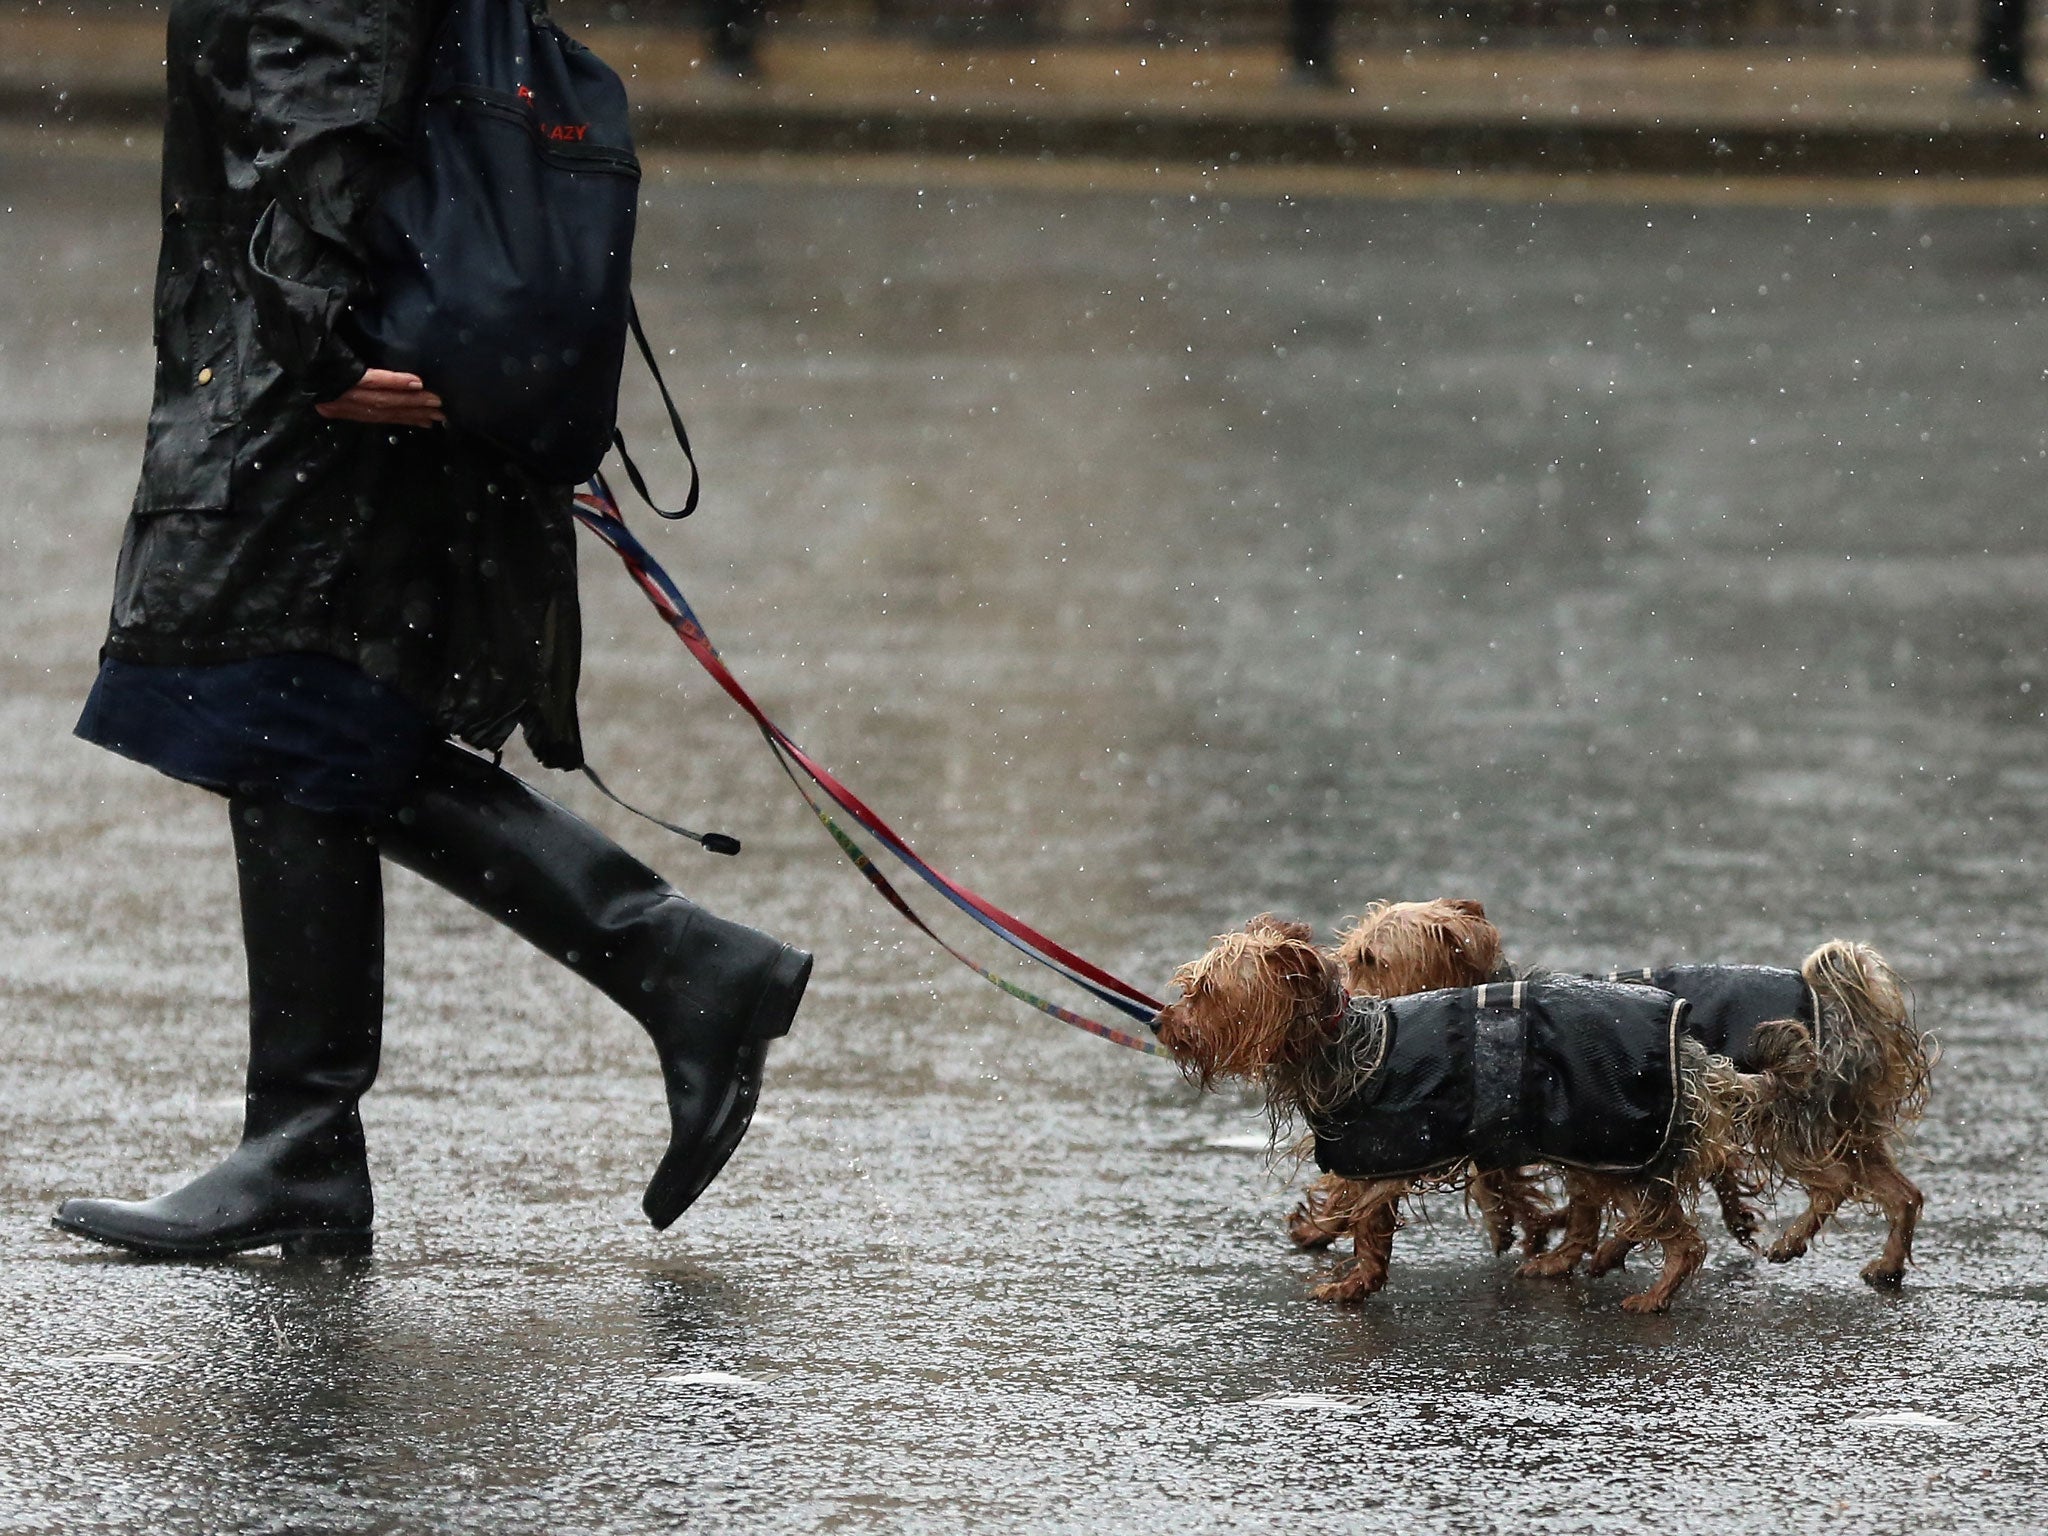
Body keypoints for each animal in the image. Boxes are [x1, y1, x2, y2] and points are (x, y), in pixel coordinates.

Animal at [1163, 921, 1769, 1318]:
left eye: (1207, 990)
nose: (1163, 1022)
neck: (1339, 1042)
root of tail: (1691, 1048)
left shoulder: (1379, 1150)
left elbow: (1363, 1222)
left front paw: (1352, 1282)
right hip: (1593, 1146)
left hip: (1617, 1146)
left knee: (1681, 1237)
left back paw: (1653, 1295)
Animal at [1335, 897, 1925, 1294]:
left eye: (1370, 958)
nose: (1341, 999)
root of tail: (1837, 1006)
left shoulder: (1591, 1135)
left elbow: (1574, 1206)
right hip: (1838, 1123)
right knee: (1902, 1193)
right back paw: (1885, 1264)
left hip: (1790, 1120)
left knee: (1836, 1183)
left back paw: (1793, 1237)